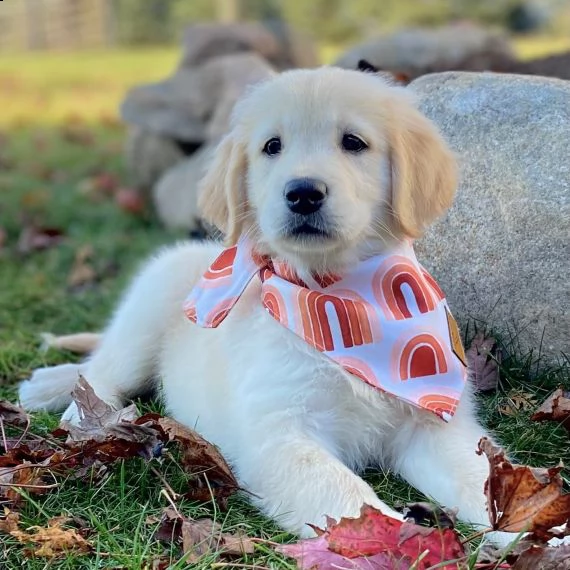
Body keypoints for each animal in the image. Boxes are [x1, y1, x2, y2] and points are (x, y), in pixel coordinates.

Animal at [18, 69, 516, 544]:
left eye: (353, 142)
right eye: (272, 147)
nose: (303, 193)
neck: (337, 297)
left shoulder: (434, 427)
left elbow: (483, 478)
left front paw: (525, 532)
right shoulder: (278, 435)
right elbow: (346, 495)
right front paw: (404, 542)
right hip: (146, 314)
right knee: (105, 368)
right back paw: (74, 407)